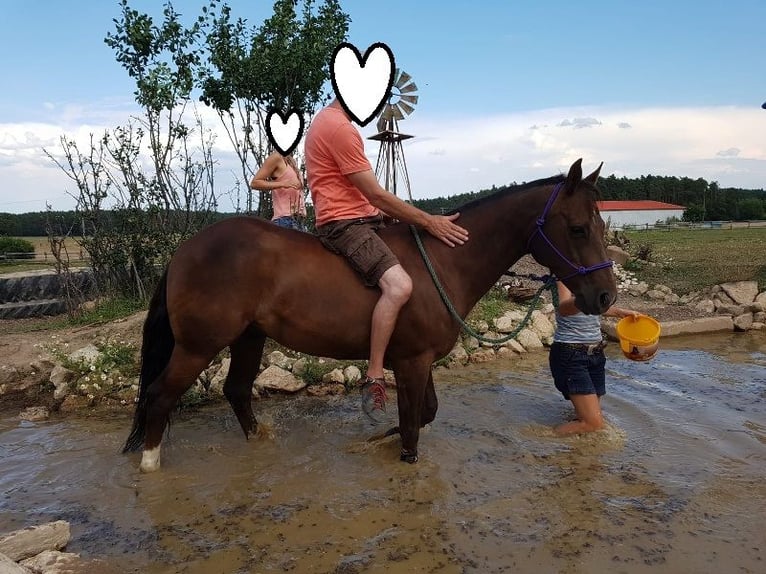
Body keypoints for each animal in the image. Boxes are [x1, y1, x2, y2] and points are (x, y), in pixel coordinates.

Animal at [123, 158, 617, 472]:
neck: (443, 262)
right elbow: (414, 431)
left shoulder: (417, 359)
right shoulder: (412, 362)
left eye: (601, 224)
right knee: (160, 396)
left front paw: (381, 438)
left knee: (237, 391)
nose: (606, 296)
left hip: (248, 336)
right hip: (198, 345)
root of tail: (185, 250)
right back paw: (150, 467)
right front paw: (400, 450)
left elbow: (426, 414)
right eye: (577, 228)